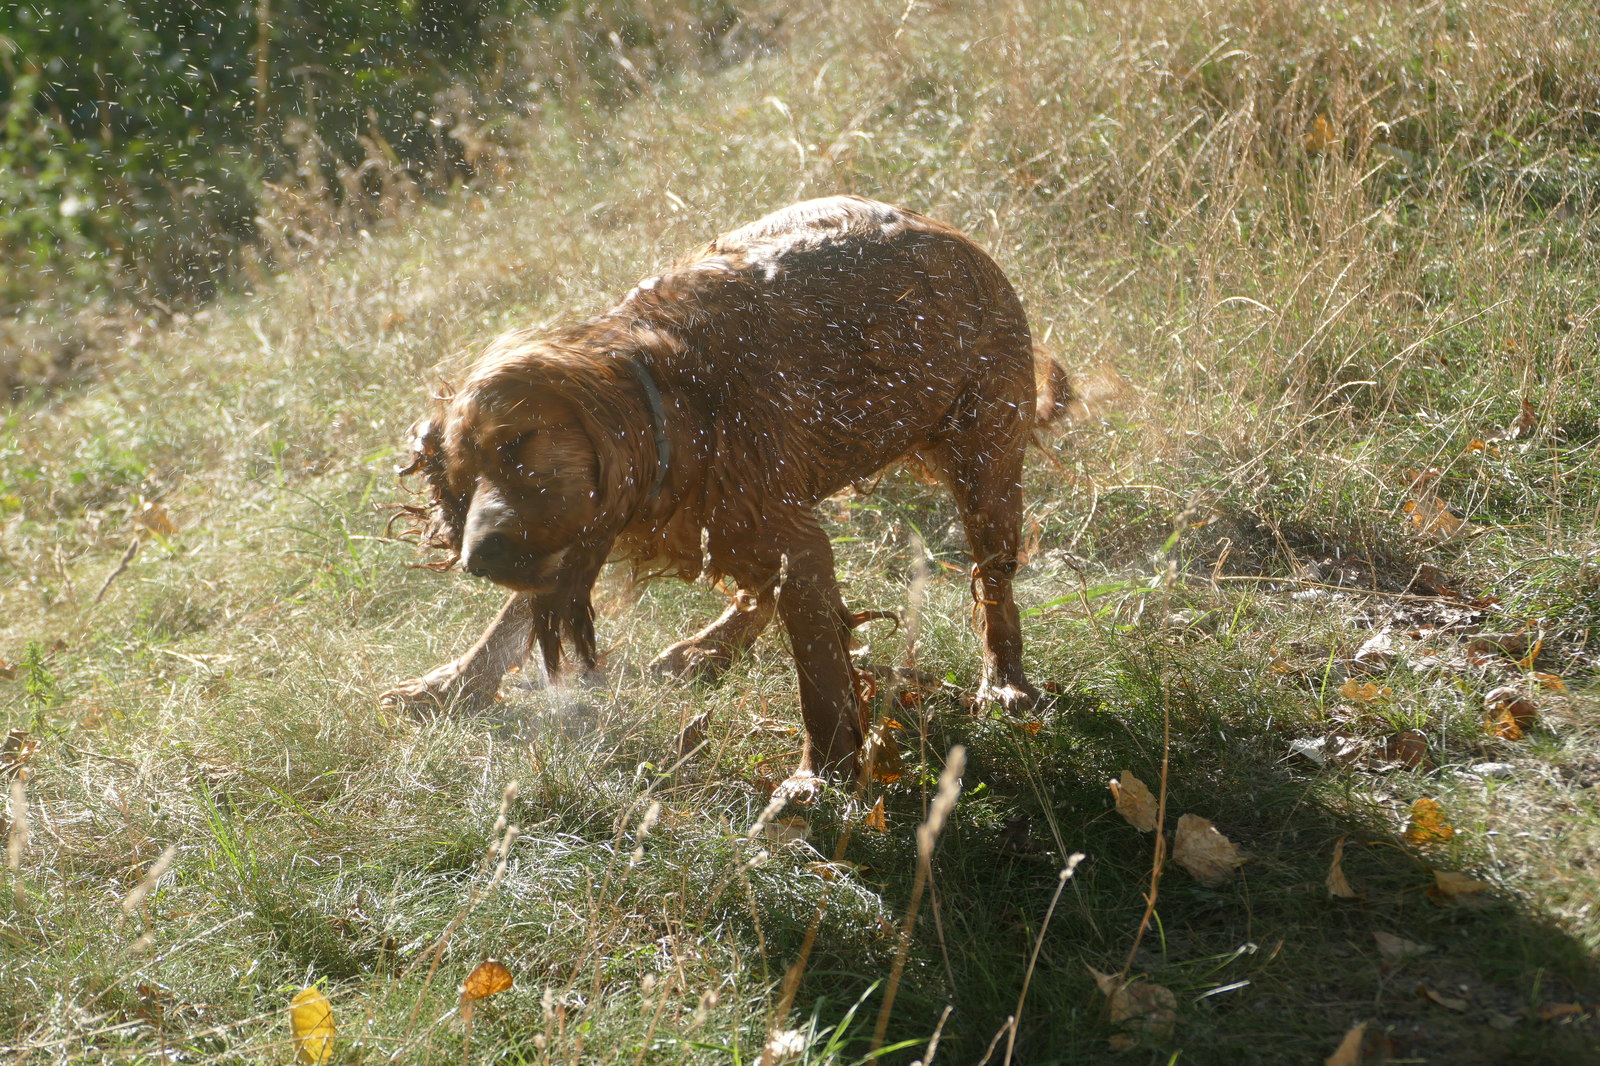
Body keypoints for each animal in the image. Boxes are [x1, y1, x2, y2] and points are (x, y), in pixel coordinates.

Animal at [380, 196, 1068, 781]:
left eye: (518, 445)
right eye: (460, 482)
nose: (478, 558)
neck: (675, 403)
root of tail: (960, 237)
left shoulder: (781, 530)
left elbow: (819, 672)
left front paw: (820, 774)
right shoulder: (589, 527)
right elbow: (512, 617)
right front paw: (449, 687)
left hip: (985, 462)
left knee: (994, 585)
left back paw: (1005, 683)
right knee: (758, 590)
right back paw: (706, 649)